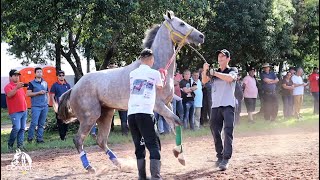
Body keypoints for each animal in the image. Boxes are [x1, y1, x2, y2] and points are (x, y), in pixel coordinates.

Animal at [58, 10, 204, 172]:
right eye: (181, 23)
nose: (201, 36)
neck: (156, 67)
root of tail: (74, 88)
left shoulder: (168, 104)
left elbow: (174, 125)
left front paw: (180, 155)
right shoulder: (158, 105)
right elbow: (178, 121)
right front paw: (179, 155)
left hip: (106, 114)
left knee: (101, 140)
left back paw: (119, 163)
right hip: (90, 117)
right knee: (78, 140)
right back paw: (89, 167)